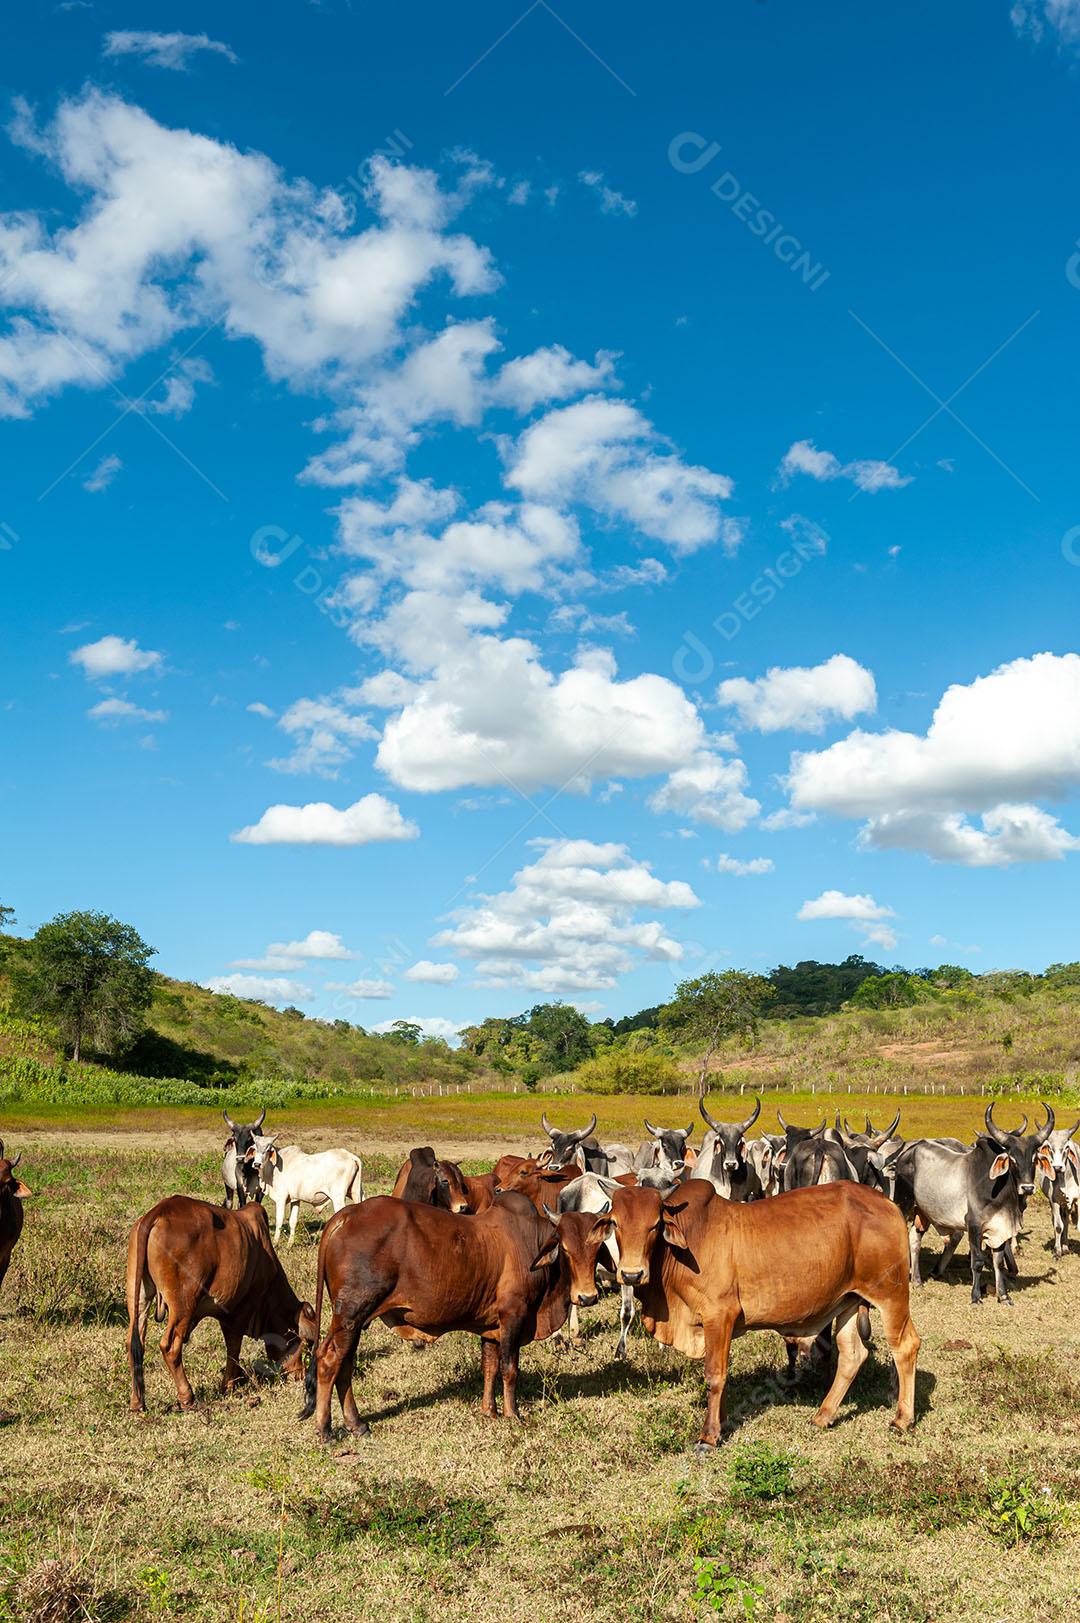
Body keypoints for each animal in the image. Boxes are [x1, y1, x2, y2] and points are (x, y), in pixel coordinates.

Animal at [125, 1194, 316, 1408]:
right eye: (308, 1342)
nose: (300, 1375)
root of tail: (158, 1212)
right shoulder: (242, 1307)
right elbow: (234, 1347)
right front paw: (228, 1385)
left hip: (138, 1296)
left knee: (134, 1342)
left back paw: (137, 1402)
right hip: (184, 1303)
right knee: (170, 1346)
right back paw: (187, 1397)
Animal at [295, 1188, 565, 1441]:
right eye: (565, 1244)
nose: (581, 1295)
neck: (531, 1240)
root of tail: (346, 1215)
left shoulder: (492, 1326)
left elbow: (490, 1366)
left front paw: (490, 1411)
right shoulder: (514, 1315)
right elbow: (510, 1368)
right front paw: (513, 1414)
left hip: (354, 1321)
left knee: (346, 1362)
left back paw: (356, 1424)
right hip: (352, 1312)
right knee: (329, 1359)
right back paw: (326, 1430)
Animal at [1039, 1123, 1078, 1259]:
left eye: (1066, 1147)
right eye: (1049, 1148)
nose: (1057, 1167)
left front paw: (1063, 1248)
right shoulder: (1053, 1201)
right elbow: (1058, 1226)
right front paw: (1057, 1251)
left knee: (1066, 1221)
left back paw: (1066, 1247)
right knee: (1059, 1222)